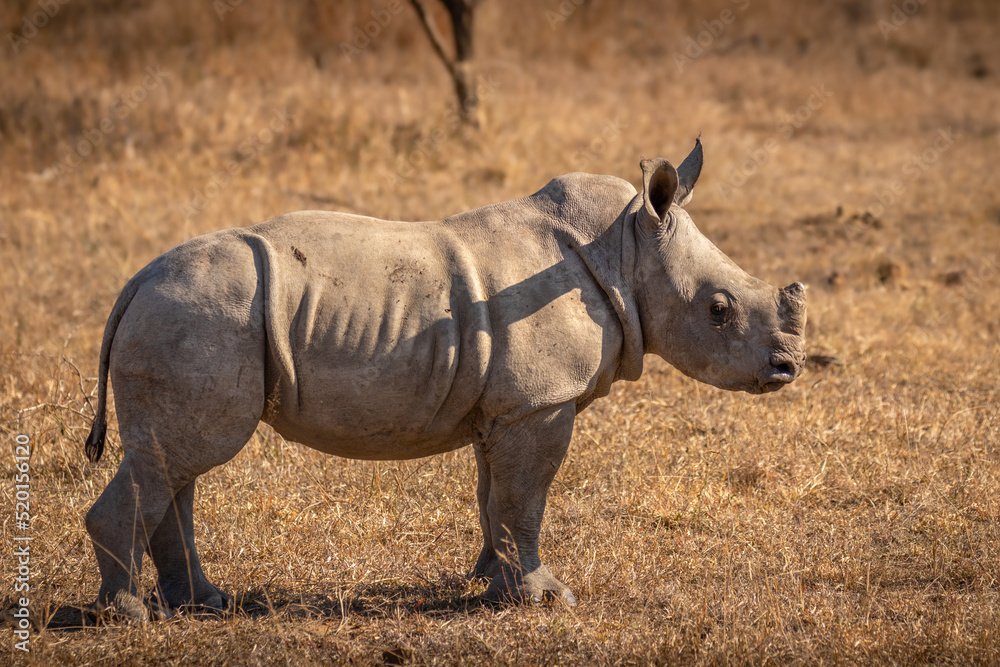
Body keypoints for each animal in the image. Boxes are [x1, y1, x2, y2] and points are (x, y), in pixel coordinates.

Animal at [83, 138, 806, 619]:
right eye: (719, 309)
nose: (787, 368)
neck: (626, 248)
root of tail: (136, 281)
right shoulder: (540, 402)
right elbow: (526, 494)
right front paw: (544, 599)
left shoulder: (509, 403)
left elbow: (498, 495)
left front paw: (489, 582)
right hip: (197, 317)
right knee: (181, 456)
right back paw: (129, 616)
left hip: (190, 317)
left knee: (176, 463)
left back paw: (204, 603)